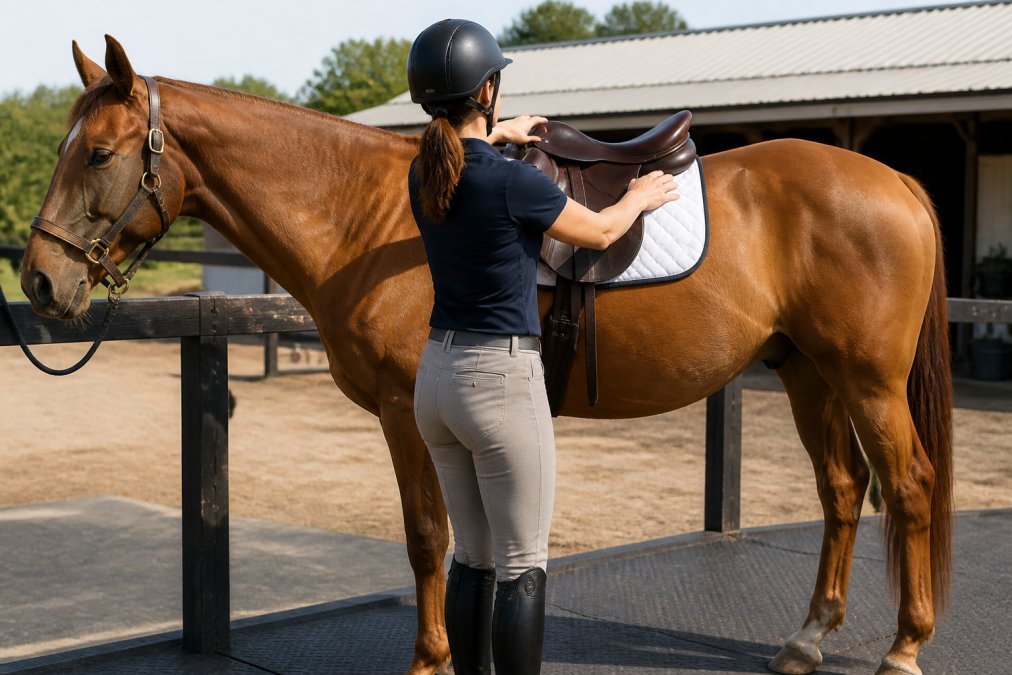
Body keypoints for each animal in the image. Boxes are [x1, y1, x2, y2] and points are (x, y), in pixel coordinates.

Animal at [20, 36, 952, 675]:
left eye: (97, 153)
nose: (38, 280)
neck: (374, 215)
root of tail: (896, 180)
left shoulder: (405, 410)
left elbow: (428, 536)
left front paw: (428, 657)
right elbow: (452, 541)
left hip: (866, 382)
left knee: (907, 487)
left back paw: (905, 646)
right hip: (806, 373)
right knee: (843, 491)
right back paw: (807, 637)